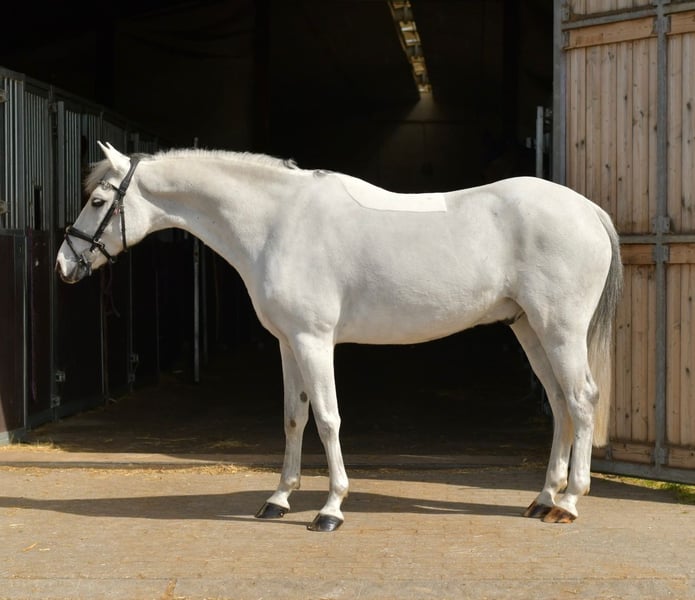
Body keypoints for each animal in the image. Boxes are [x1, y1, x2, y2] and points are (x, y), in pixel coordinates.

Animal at [56, 142, 623, 532]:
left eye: (99, 200)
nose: (64, 264)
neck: (277, 222)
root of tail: (589, 211)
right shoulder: (288, 344)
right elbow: (294, 419)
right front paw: (277, 501)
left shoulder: (313, 341)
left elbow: (328, 420)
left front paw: (330, 509)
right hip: (529, 328)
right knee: (560, 405)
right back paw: (543, 499)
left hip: (559, 329)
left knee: (581, 400)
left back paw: (569, 503)